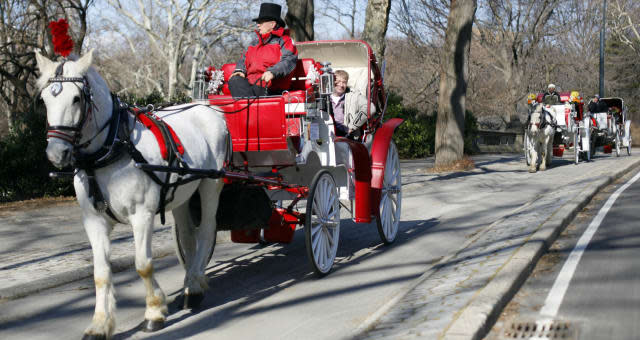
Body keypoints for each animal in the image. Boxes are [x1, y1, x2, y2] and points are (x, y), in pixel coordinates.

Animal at [35, 49, 228, 338]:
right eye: (45, 99)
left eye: (76, 98)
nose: (57, 153)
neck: (112, 146)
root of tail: (207, 107)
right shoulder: (94, 220)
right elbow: (101, 273)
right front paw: (100, 323)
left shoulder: (142, 215)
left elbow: (143, 264)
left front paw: (154, 312)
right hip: (182, 194)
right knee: (187, 236)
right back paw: (190, 281)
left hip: (209, 185)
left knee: (206, 229)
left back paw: (193, 288)